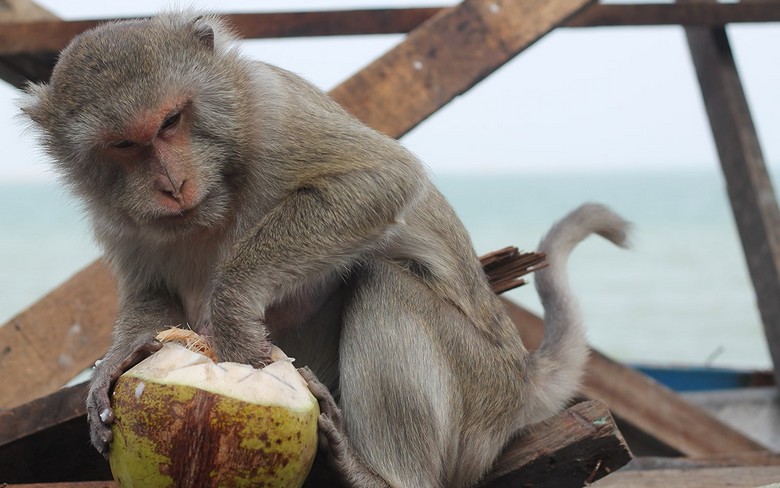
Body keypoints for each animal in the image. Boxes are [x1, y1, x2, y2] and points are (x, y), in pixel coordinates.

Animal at [21, 12, 632, 488]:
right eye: (125, 144)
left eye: (172, 120)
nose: (172, 185)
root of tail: (523, 380)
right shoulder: (114, 215)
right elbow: (151, 293)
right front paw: (121, 358)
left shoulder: (272, 112)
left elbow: (379, 180)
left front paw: (232, 308)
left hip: (481, 395)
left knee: (386, 285)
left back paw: (380, 474)